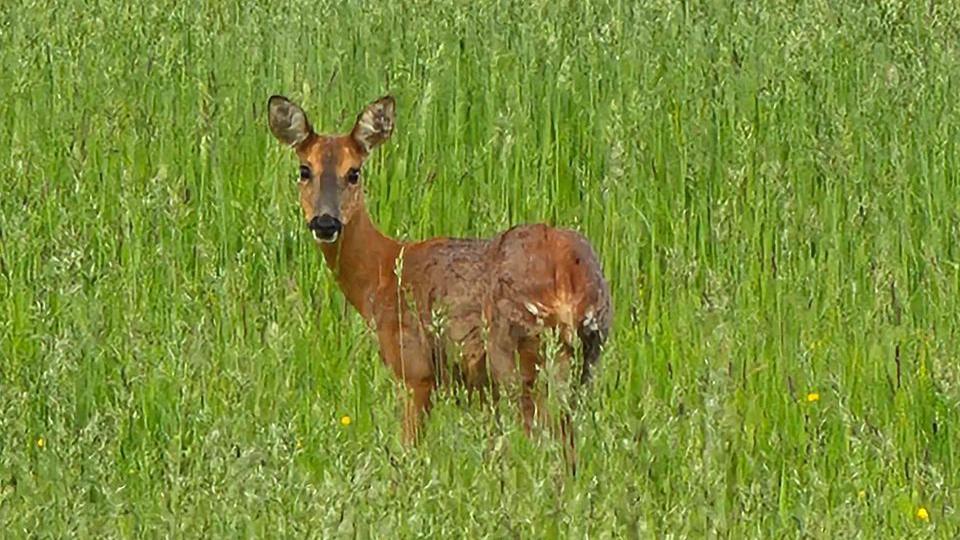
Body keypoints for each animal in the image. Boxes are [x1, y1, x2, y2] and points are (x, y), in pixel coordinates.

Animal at [268, 94, 616, 468]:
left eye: (354, 172)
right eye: (305, 170)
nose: (325, 222)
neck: (383, 272)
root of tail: (570, 273)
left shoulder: (415, 369)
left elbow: (409, 448)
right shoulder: (479, 390)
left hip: (520, 354)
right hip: (584, 358)